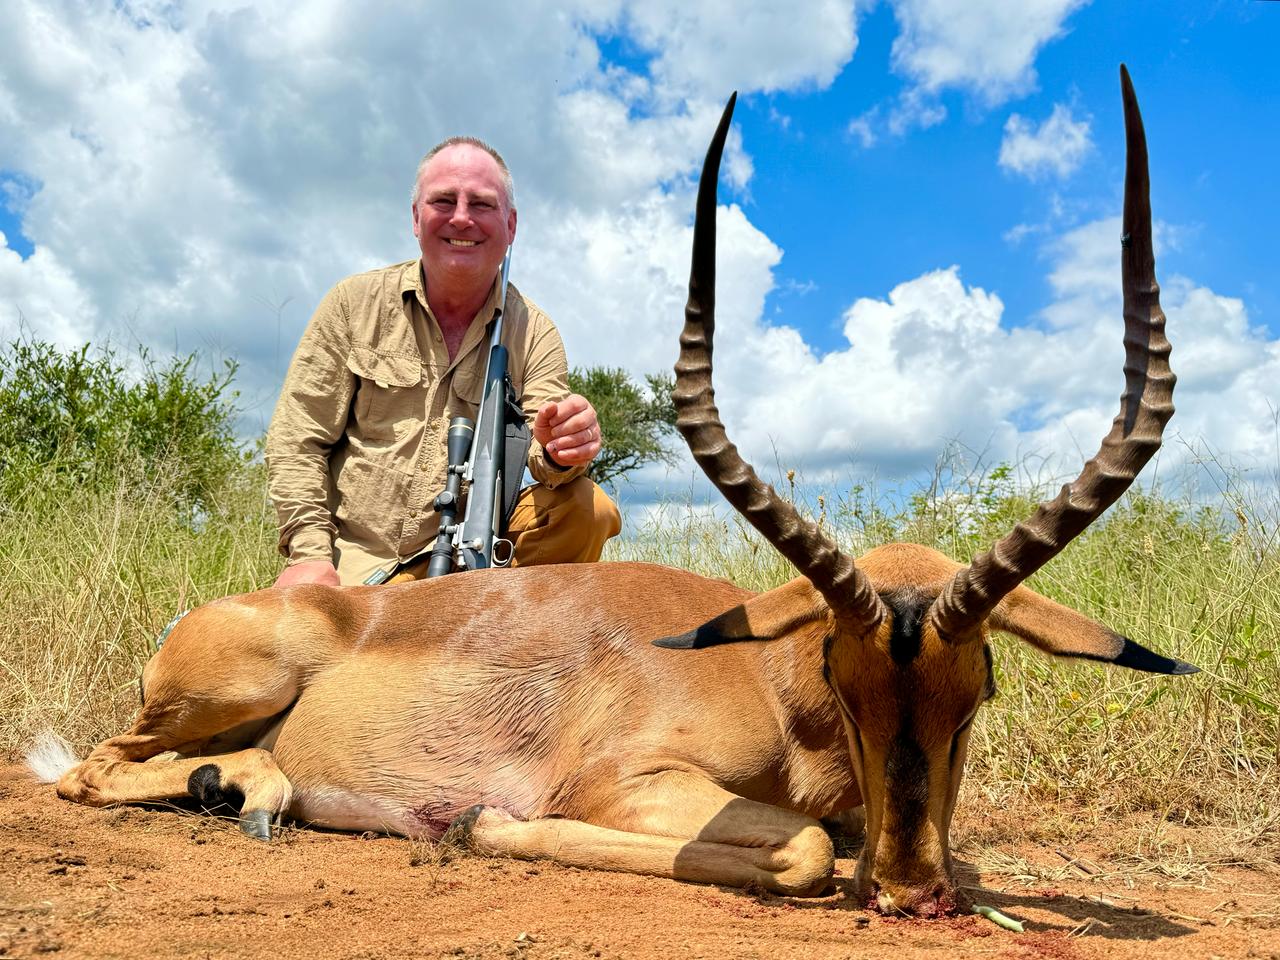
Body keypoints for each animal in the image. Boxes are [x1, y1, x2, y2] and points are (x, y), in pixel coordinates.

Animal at [45, 66, 1192, 917]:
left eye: (979, 688)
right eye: (839, 668)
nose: (911, 894)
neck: (768, 681)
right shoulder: (631, 783)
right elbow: (806, 851)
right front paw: (478, 822)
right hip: (226, 688)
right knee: (87, 769)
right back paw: (261, 792)